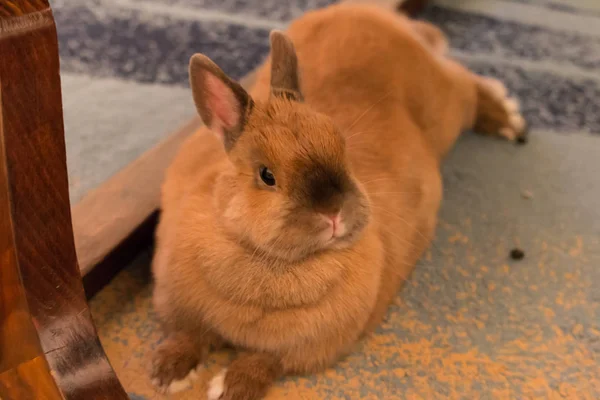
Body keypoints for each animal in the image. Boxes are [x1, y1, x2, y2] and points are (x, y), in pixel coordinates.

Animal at [150, 3, 524, 400]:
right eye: (267, 175)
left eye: (341, 146)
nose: (333, 213)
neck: (269, 262)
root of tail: (370, 11)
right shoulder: (180, 310)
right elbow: (187, 335)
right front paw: (166, 373)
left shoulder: (307, 350)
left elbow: (265, 362)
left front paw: (230, 388)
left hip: (446, 103)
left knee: (466, 84)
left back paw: (505, 116)